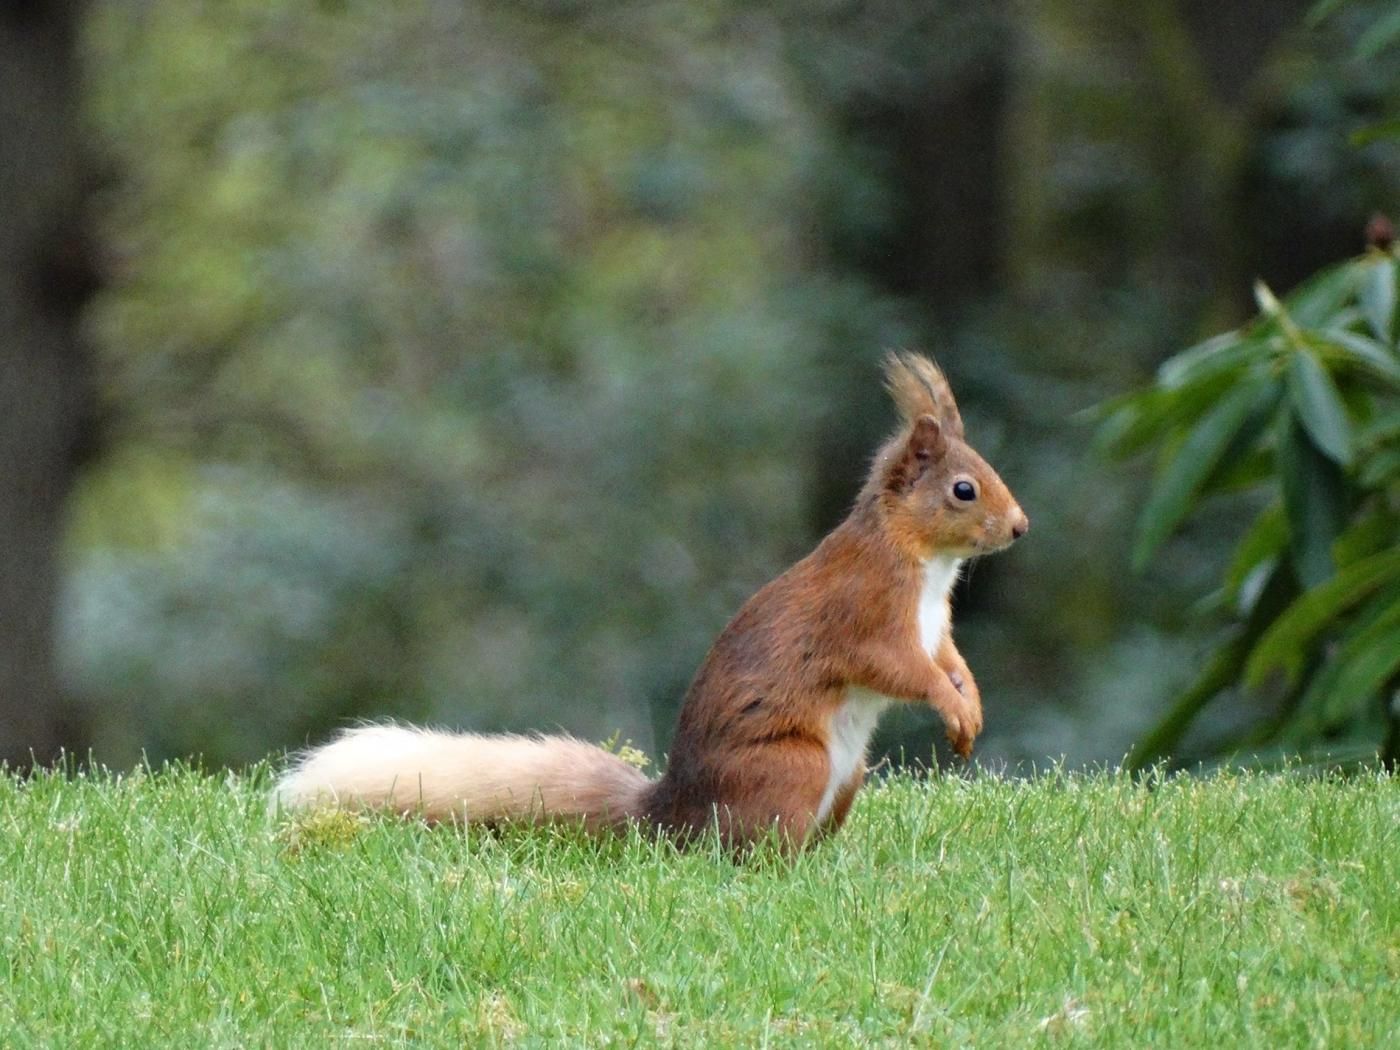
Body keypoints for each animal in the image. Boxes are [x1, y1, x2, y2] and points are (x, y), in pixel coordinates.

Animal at [274, 352, 1029, 851]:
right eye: (964, 489)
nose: (1021, 527)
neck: (926, 566)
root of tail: (671, 817)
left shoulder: (935, 629)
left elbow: (947, 659)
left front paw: (970, 704)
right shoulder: (866, 614)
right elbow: (902, 670)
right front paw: (953, 706)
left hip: (846, 780)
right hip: (792, 766)